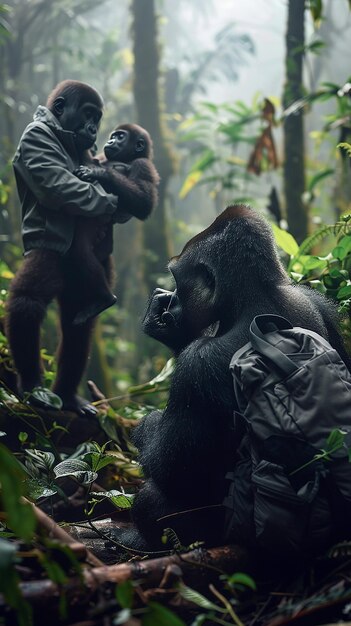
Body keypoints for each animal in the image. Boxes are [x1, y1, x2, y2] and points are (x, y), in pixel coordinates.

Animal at [5, 79, 126, 414]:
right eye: (87, 113)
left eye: (97, 117)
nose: (93, 129)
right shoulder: (35, 138)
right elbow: (58, 181)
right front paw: (111, 202)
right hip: (52, 257)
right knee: (28, 302)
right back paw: (34, 387)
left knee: (78, 324)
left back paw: (69, 396)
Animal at [73, 123, 160, 324]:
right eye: (113, 136)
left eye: (120, 137)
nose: (110, 141)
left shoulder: (144, 165)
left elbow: (145, 203)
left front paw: (101, 174)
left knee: (81, 251)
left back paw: (105, 299)